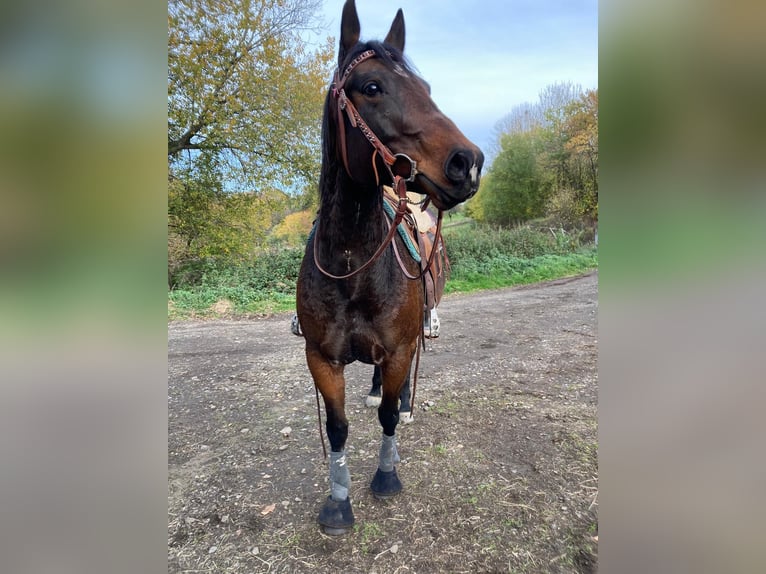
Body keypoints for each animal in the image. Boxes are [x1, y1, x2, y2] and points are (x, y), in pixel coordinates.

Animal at [296, 0, 484, 536]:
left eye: (427, 90)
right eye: (373, 87)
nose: (467, 162)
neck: (353, 263)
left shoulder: (400, 348)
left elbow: (387, 419)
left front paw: (385, 475)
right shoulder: (321, 358)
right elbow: (338, 427)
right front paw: (338, 500)